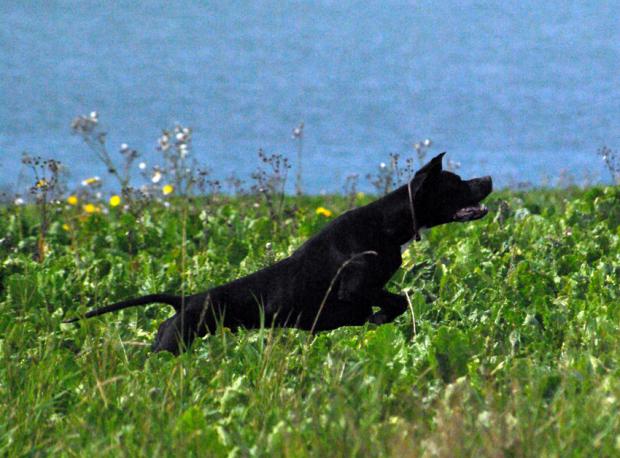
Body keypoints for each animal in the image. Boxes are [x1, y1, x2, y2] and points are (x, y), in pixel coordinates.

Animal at [65, 154, 492, 354]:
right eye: (456, 182)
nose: (487, 178)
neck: (390, 221)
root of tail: (185, 300)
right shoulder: (355, 288)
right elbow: (390, 301)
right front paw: (377, 317)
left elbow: (394, 301)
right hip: (176, 342)